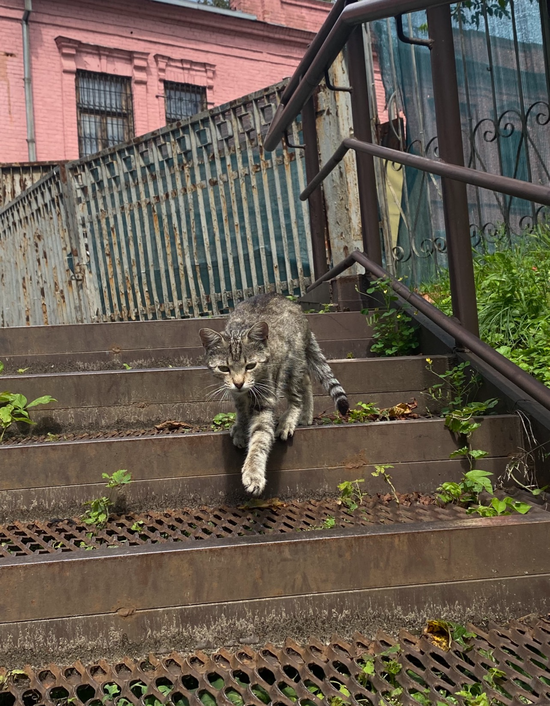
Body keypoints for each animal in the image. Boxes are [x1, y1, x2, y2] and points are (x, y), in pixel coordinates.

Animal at [199, 293, 349, 495]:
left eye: (251, 366)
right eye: (224, 368)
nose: (238, 383)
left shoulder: (265, 400)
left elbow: (260, 437)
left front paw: (253, 473)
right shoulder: (237, 396)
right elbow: (241, 412)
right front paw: (240, 429)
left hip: (290, 365)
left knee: (296, 396)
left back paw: (290, 420)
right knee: (306, 380)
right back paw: (306, 416)